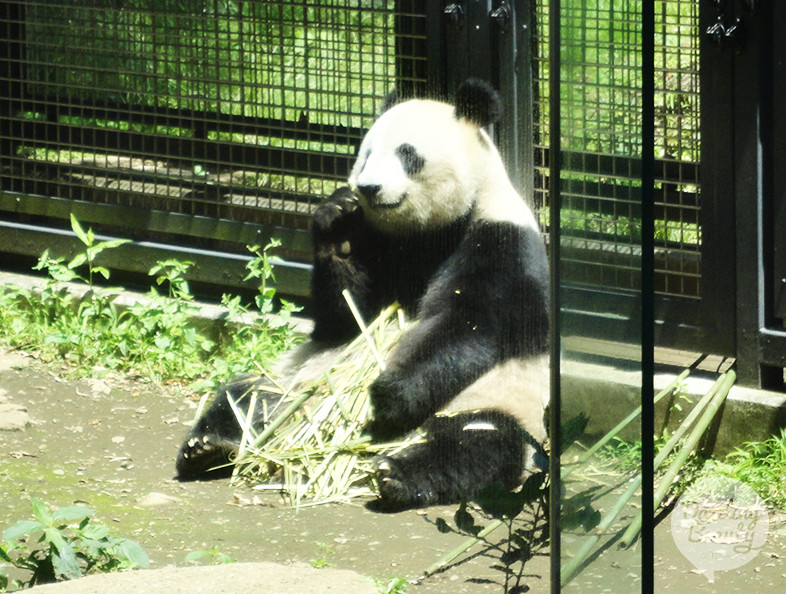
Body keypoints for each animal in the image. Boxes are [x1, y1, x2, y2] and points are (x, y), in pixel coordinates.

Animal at [175, 78, 548, 508]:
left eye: (407, 154)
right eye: (367, 152)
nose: (368, 188)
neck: (429, 230)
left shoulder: (499, 240)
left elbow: (470, 324)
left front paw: (390, 395)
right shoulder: (381, 244)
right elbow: (347, 316)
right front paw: (335, 220)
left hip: (493, 400)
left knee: (479, 442)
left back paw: (397, 473)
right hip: (295, 382)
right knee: (245, 396)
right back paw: (208, 445)